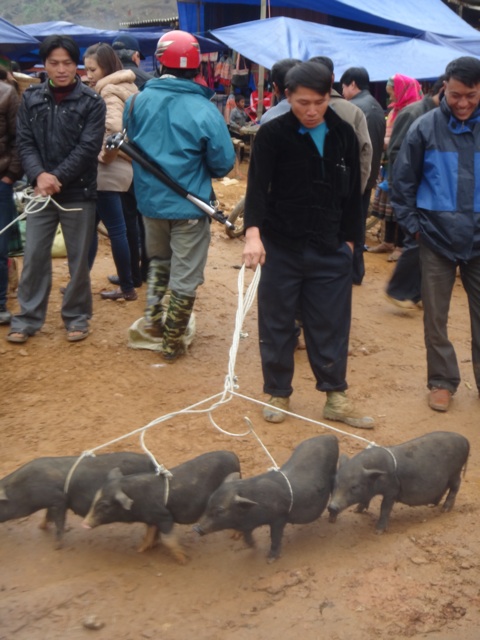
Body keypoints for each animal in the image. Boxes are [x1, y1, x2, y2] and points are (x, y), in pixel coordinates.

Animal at [0, 452, 154, 548]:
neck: (23, 488)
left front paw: (57, 546)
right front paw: (40, 527)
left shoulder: (59, 500)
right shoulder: (52, 502)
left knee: (151, 525)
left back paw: (141, 547)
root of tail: (153, 464)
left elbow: (59, 521)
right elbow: (48, 515)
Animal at [82, 452, 242, 564]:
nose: (84, 524)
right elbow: (149, 533)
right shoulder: (152, 519)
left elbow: (167, 539)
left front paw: (184, 560)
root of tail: (233, 455)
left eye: (105, 505)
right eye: (95, 499)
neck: (137, 499)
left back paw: (234, 537)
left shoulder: (164, 517)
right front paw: (140, 550)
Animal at [193, 436, 340, 560]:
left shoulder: (279, 517)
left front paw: (270, 559)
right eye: (208, 504)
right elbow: (247, 536)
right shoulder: (248, 525)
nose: (198, 528)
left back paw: (332, 520)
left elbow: (275, 537)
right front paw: (253, 546)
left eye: (220, 510)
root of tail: (331, 437)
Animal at [328, 432, 466, 532]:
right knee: (445, 486)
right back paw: (432, 505)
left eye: (354, 487)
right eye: (335, 483)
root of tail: (466, 441)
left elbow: (385, 508)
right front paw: (356, 511)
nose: (331, 506)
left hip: (455, 471)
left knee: (456, 486)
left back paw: (445, 510)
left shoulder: (392, 490)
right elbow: (366, 499)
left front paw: (378, 531)